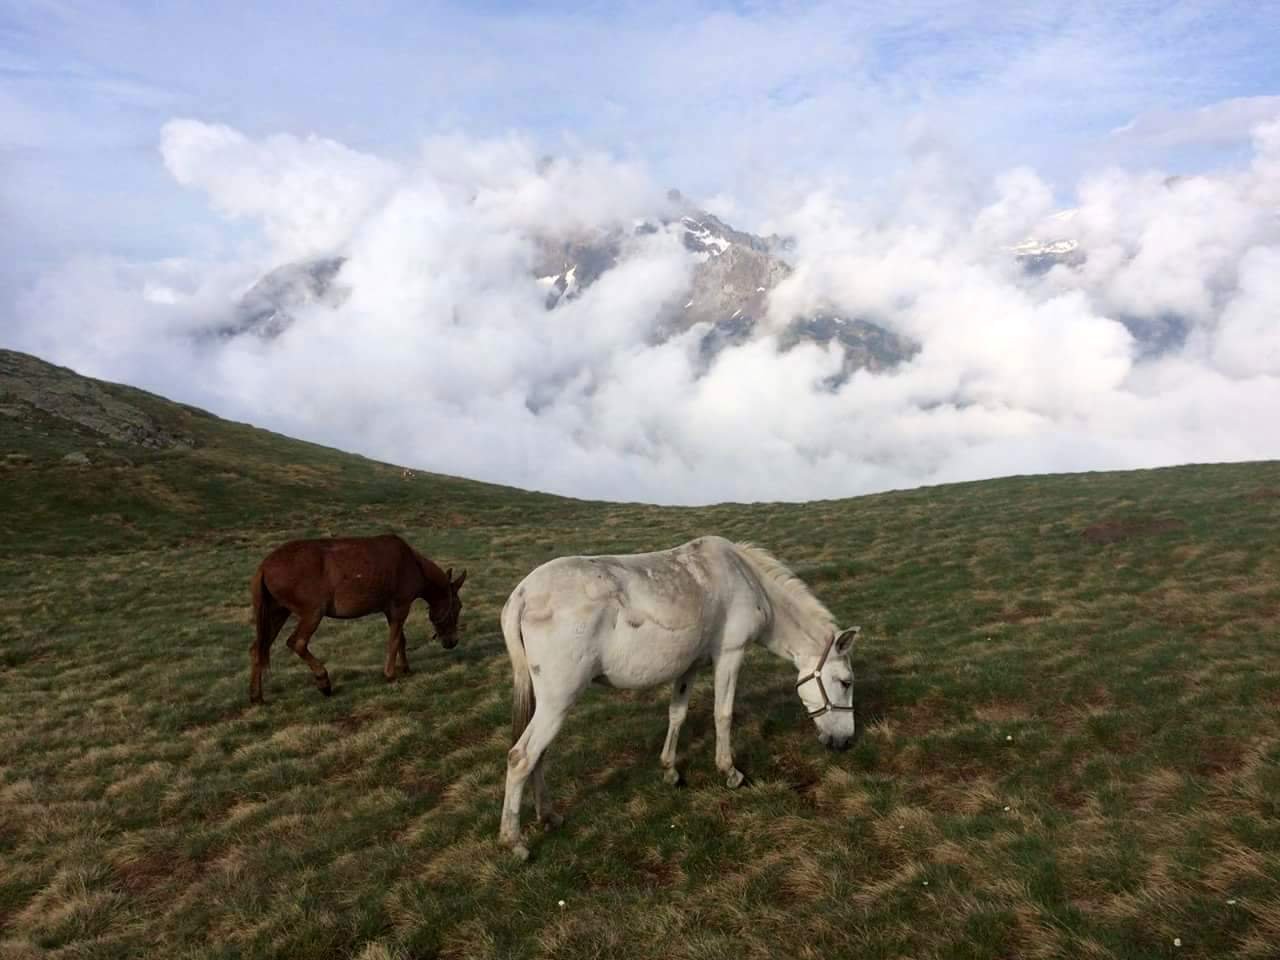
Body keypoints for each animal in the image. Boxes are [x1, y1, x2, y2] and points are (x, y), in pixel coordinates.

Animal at [249, 533, 466, 704]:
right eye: (457, 607)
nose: (453, 641)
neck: (414, 565)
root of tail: (264, 567)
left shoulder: (391, 611)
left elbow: (401, 640)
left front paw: (405, 668)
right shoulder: (400, 607)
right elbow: (395, 641)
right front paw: (390, 674)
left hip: (277, 613)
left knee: (258, 649)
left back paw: (256, 696)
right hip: (312, 613)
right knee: (297, 643)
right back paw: (323, 681)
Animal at [497, 535, 859, 859]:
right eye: (845, 682)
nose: (846, 742)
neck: (746, 578)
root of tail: (522, 595)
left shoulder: (689, 667)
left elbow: (677, 714)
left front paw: (670, 770)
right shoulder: (730, 655)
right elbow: (723, 714)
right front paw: (730, 772)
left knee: (539, 755)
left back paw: (549, 816)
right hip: (557, 702)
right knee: (521, 757)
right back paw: (515, 842)